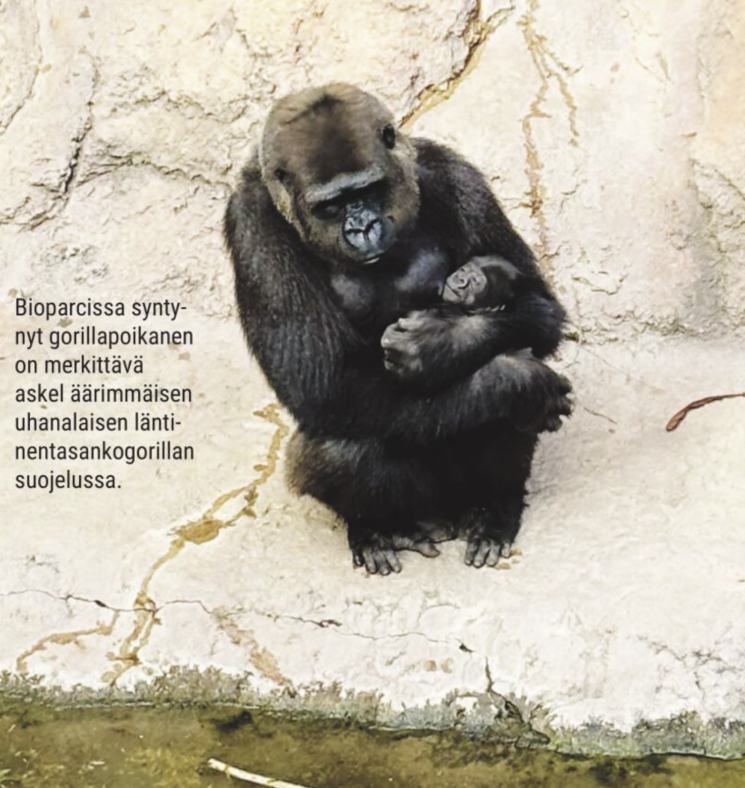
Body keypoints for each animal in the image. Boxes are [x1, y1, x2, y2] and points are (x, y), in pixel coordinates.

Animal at [224, 83, 571, 575]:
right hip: (421, 502)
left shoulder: (452, 174)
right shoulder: (251, 223)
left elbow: (541, 310)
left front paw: (440, 345)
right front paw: (512, 381)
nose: (364, 227)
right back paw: (381, 528)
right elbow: (328, 386)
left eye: (369, 189)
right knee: (340, 445)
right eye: (332, 206)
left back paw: (495, 507)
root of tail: (444, 516)